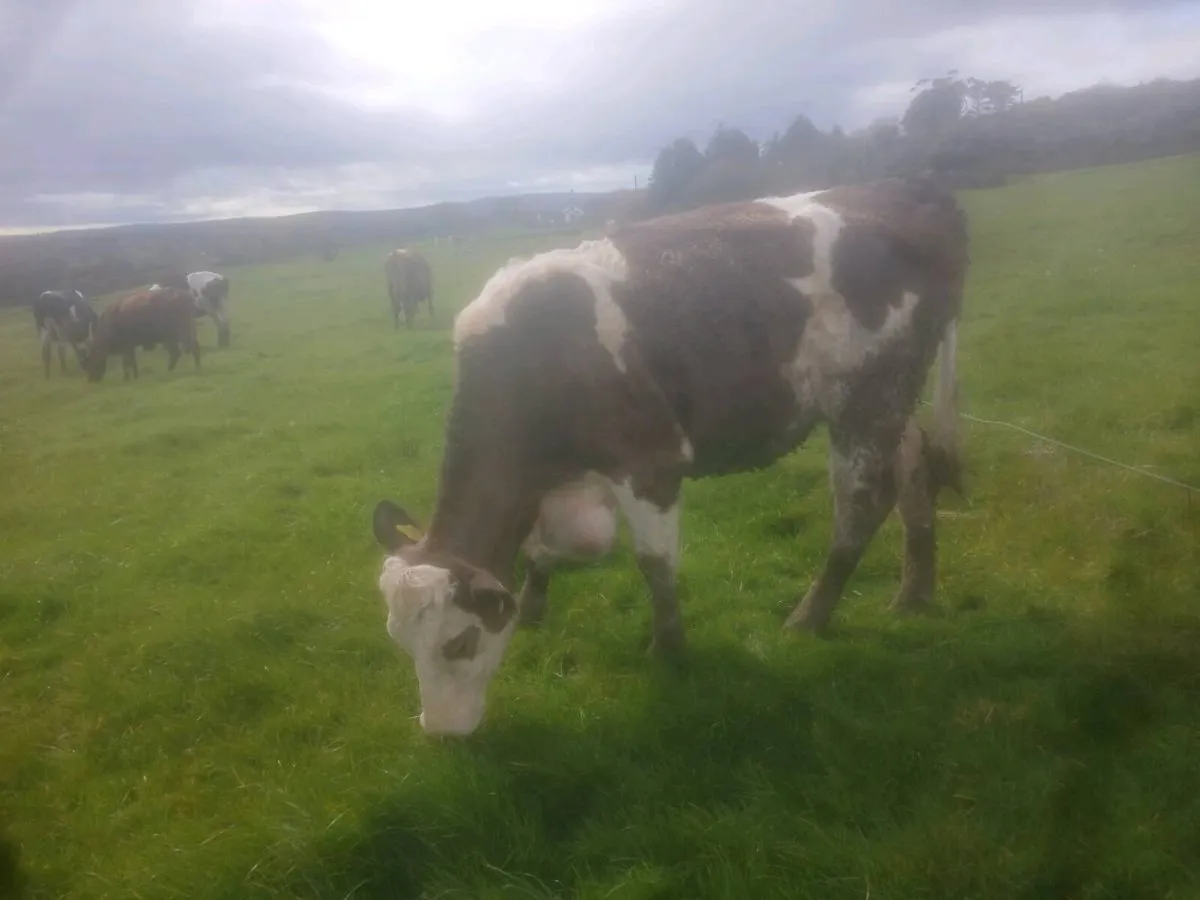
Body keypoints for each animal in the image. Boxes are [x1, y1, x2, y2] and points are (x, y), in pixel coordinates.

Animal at [369, 176, 969, 736]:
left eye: (459, 643)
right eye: (399, 643)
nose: (440, 733)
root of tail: (911, 191)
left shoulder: (649, 462)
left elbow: (654, 564)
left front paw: (668, 648)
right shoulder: (565, 484)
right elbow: (552, 547)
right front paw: (533, 608)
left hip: (865, 397)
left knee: (862, 505)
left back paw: (810, 616)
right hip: (893, 402)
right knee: (916, 471)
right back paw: (914, 594)